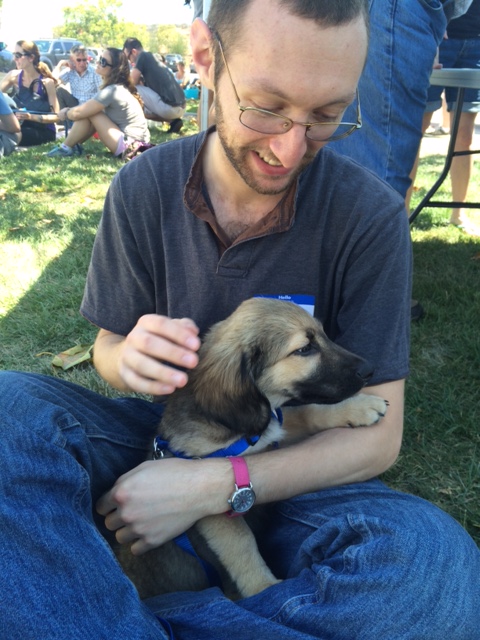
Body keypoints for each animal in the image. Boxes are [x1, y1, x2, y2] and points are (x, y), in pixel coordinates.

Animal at [116, 298, 386, 600]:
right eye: (304, 349)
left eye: (323, 335)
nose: (370, 369)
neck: (229, 426)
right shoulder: (206, 504)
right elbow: (240, 541)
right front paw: (263, 586)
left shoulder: (271, 427)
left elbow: (306, 412)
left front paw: (359, 407)